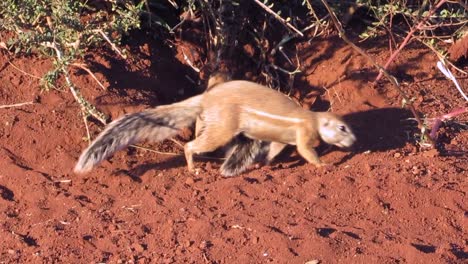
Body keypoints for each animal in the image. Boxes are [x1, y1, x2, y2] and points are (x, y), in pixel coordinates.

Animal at [75, 79, 356, 176]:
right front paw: (323, 164)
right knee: (190, 145)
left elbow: (274, 150)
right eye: (343, 128)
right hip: (221, 129)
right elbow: (308, 152)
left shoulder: (282, 139)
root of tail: (205, 98)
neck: (313, 118)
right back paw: (192, 168)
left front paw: (263, 164)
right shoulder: (304, 134)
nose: (354, 141)